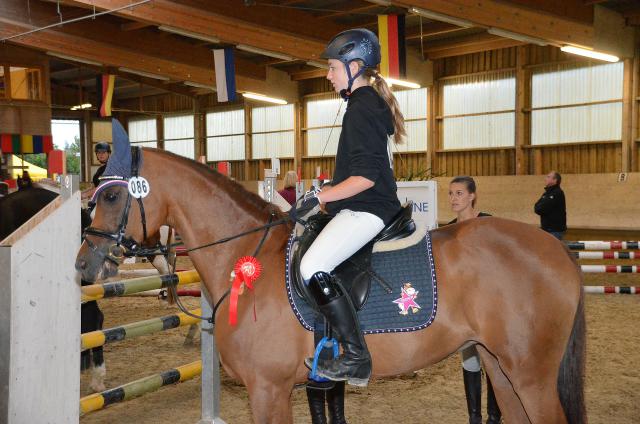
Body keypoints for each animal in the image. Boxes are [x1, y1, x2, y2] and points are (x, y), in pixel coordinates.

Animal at [76, 148, 586, 424]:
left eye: (114, 194)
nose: (84, 265)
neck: (247, 257)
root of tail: (554, 248)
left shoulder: (268, 389)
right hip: (499, 365)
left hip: (530, 374)